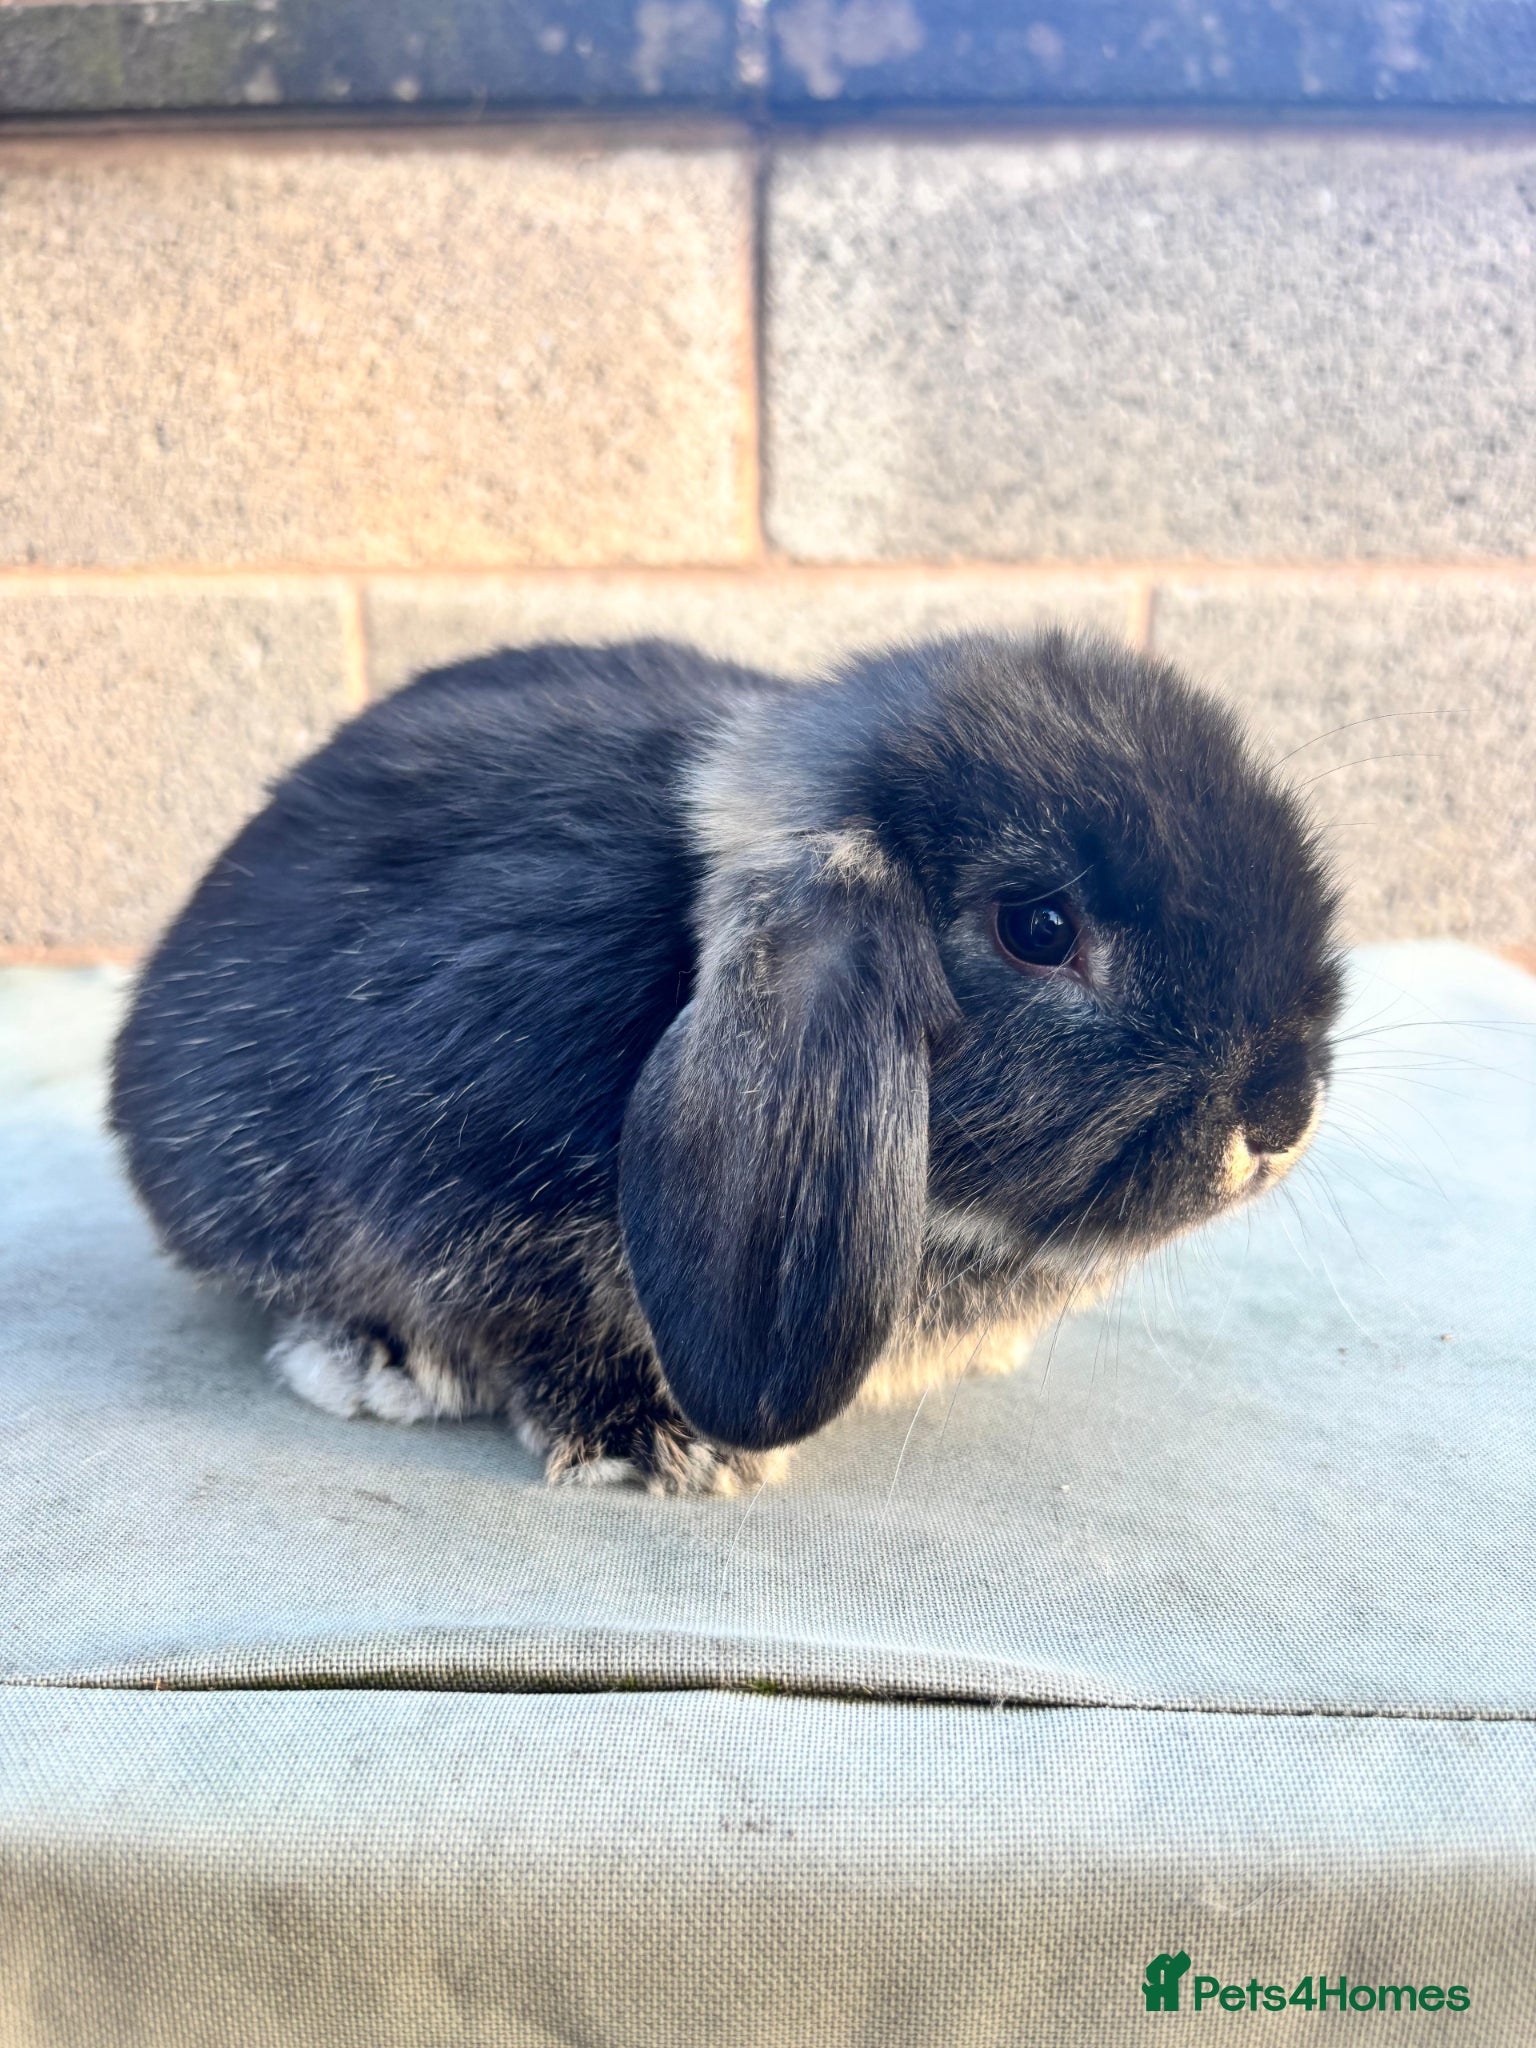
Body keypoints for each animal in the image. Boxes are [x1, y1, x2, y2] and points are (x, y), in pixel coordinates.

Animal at [110, 631, 1342, 1496]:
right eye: (1038, 929)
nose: (1281, 1119)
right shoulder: (443, 1173)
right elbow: (524, 1322)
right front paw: (653, 1443)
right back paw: (373, 1360)